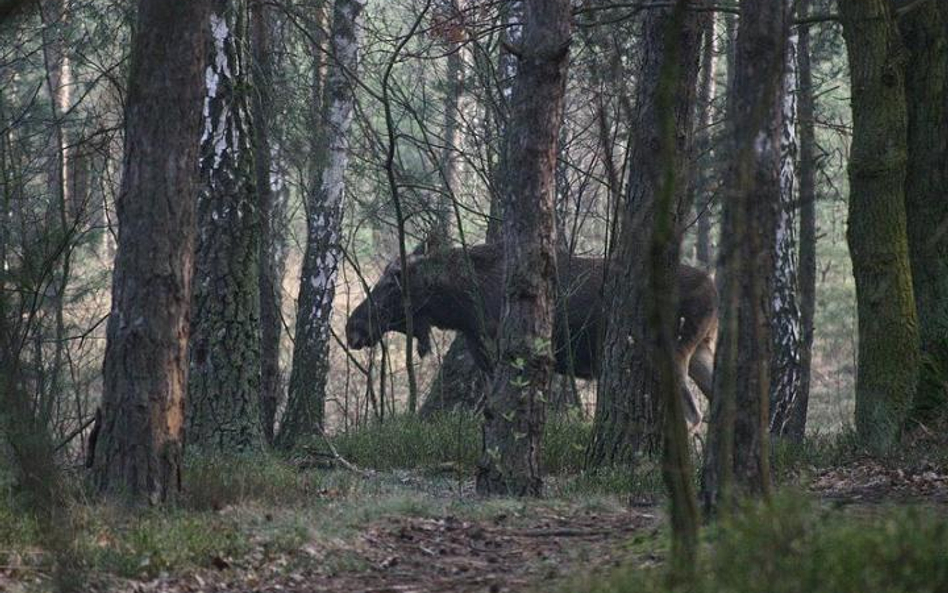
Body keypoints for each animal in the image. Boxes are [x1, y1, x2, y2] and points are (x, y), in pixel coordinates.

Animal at [348, 239, 720, 420]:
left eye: (391, 284)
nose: (353, 327)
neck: (460, 307)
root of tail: (713, 292)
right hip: (702, 350)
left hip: (673, 351)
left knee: (692, 414)